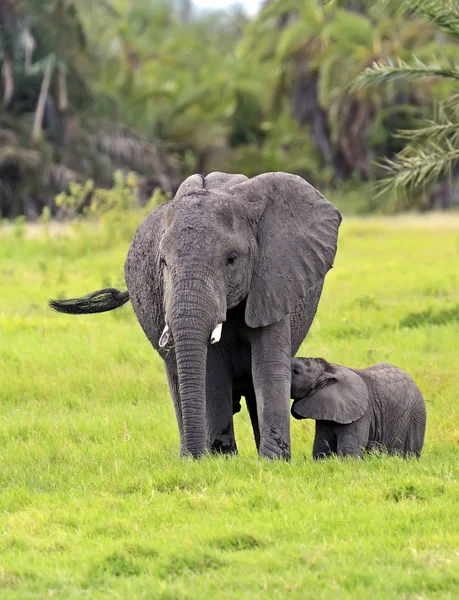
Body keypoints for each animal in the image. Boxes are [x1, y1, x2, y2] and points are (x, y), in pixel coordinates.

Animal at [52, 172, 344, 460]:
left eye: (232, 259)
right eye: (163, 263)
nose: (199, 455)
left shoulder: (273, 280)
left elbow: (268, 365)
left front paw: (272, 461)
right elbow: (212, 370)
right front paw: (222, 459)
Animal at [292, 356, 428, 460]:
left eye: (296, 371)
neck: (329, 369)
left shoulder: (362, 413)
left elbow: (350, 451)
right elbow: (322, 448)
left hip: (416, 414)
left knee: (411, 450)